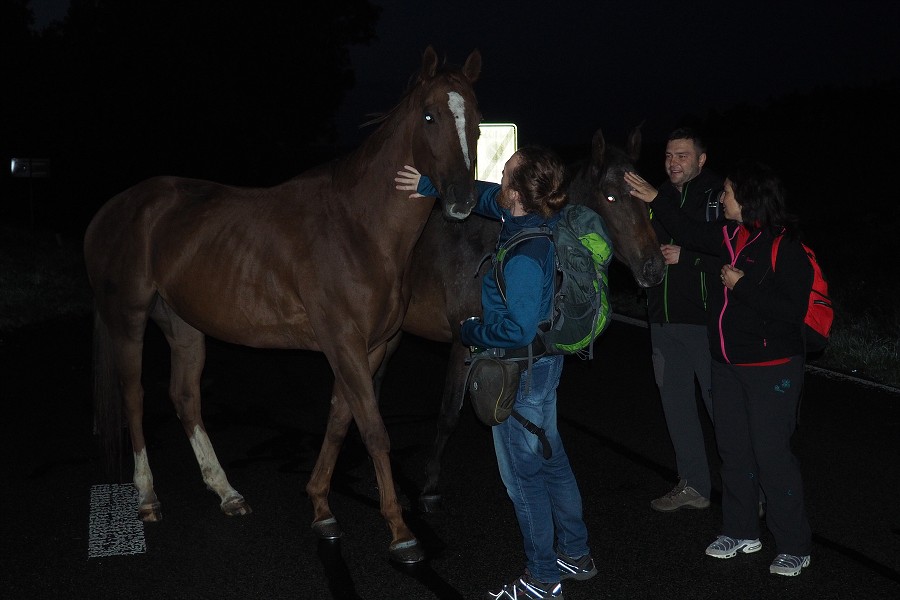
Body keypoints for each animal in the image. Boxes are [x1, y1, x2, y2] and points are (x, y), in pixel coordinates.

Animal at [84, 47, 486, 564]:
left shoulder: (370, 347)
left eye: (475, 119)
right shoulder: (345, 342)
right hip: (128, 319)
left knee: (186, 398)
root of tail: (111, 210)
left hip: (184, 325)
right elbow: (373, 429)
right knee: (134, 397)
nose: (462, 201)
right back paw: (148, 496)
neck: (360, 228)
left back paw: (227, 492)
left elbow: (339, 420)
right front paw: (400, 531)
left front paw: (321, 508)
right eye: (429, 115)